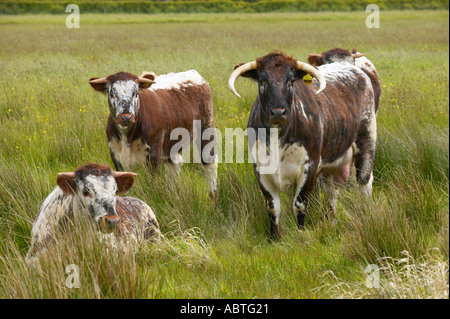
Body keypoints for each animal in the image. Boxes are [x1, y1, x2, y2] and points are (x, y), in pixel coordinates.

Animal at [89, 69, 218, 198]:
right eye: (112, 94)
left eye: (135, 93)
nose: (126, 117)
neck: (127, 137)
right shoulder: (116, 156)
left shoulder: (154, 155)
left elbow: (151, 182)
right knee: (174, 164)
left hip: (206, 127)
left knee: (209, 161)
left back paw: (213, 194)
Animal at [229, 50, 376, 240]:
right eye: (262, 80)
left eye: (291, 80)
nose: (278, 112)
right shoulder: (260, 170)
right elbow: (272, 206)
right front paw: (274, 238)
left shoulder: (309, 167)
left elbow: (299, 204)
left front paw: (300, 234)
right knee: (331, 191)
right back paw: (332, 220)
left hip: (366, 142)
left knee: (364, 183)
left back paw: (367, 213)